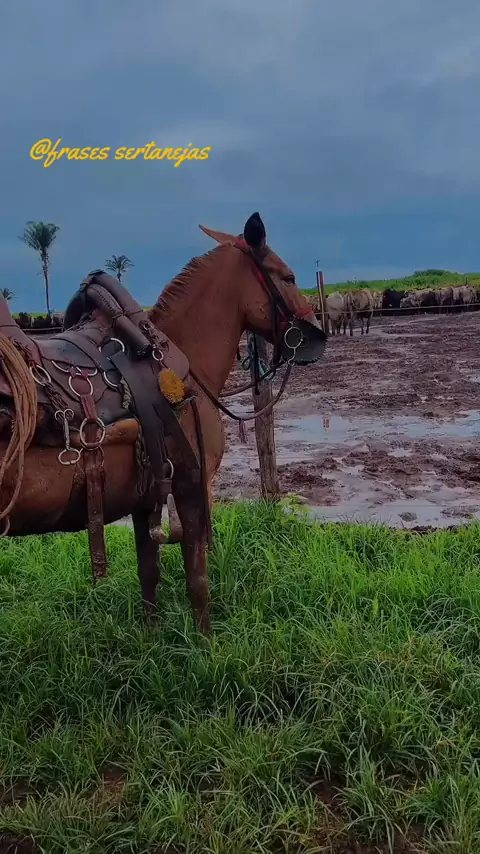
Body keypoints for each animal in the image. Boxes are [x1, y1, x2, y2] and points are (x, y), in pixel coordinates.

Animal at [0, 212, 326, 634]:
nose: (319, 337)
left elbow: (149, 574)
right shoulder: (189, 486)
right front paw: (206, 643)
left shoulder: (145, 495)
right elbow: (197, 580)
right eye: (288, 277)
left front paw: (150, 637)